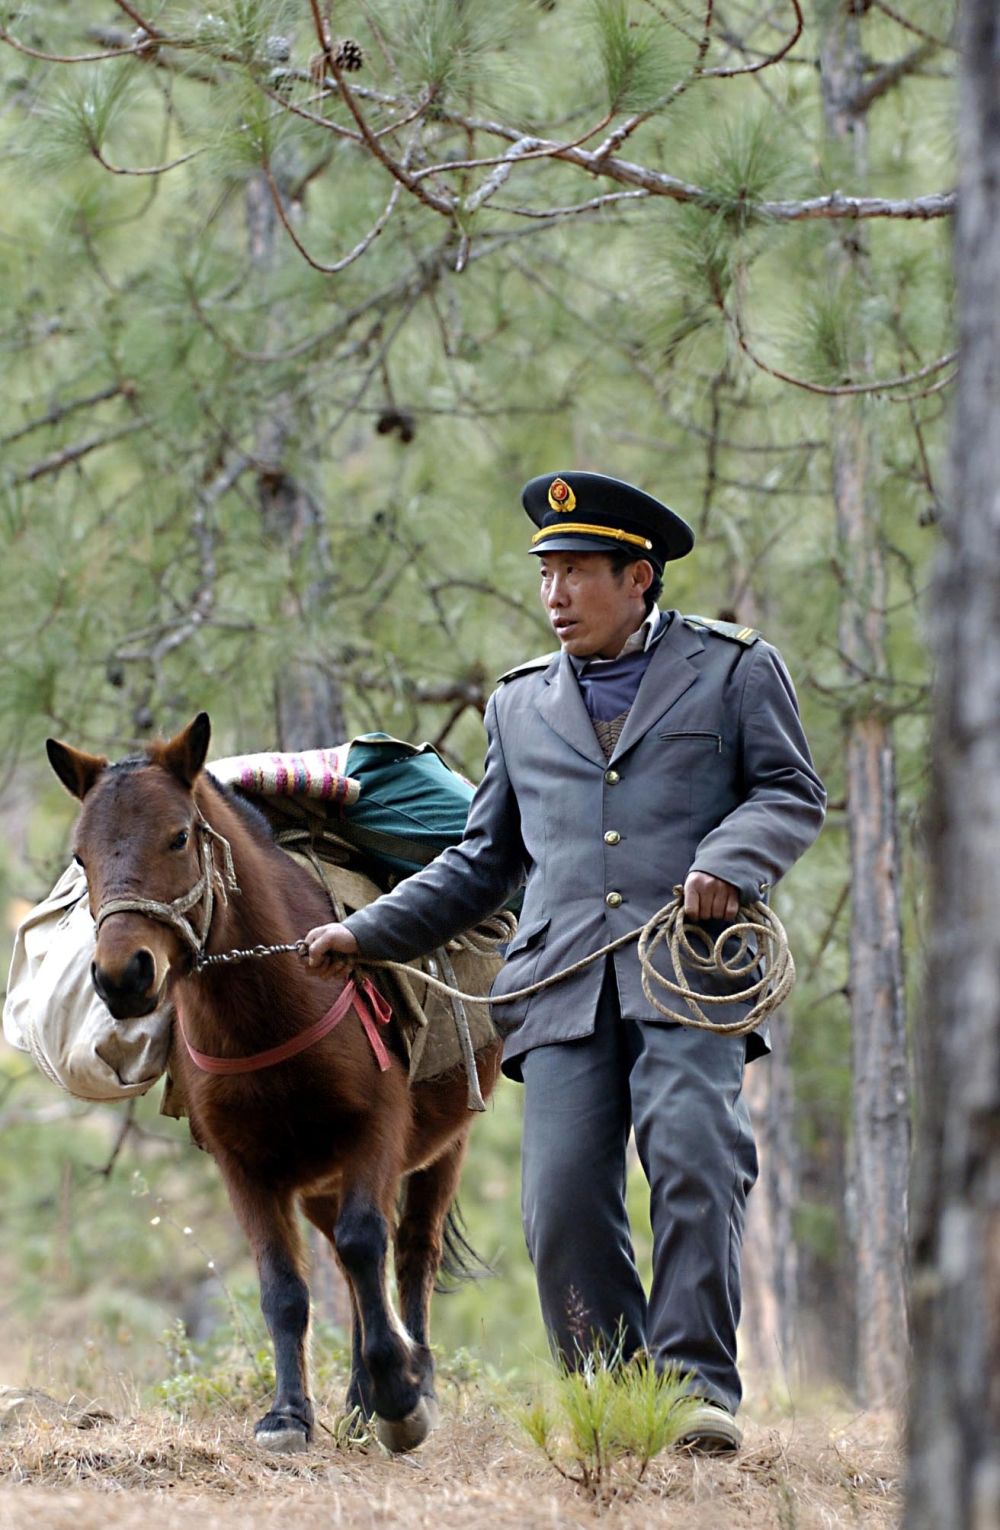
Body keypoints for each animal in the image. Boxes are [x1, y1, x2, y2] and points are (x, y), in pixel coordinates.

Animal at [47, 709, 501, 1450]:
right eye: (81, 856)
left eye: (178, 836)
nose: (123, 976)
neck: (268, 1009)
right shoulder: (245, 1164)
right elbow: (283, 1287)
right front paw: (290, 1412)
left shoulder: (376, 1131)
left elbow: (367, 1242)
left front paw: (402, 1397)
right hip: (318, 1178)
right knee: (347, 1267)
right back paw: (358, 1401)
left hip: (444, 1145)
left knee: (409, 1252)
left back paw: (411, 1381)